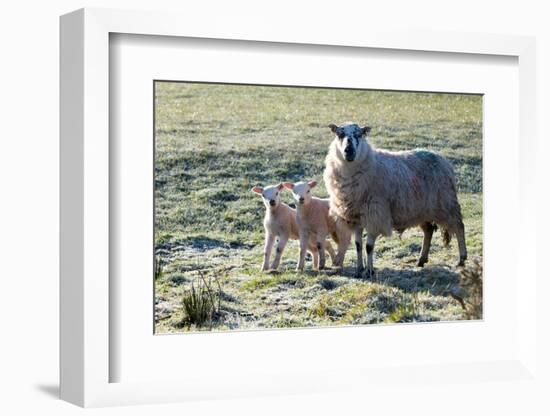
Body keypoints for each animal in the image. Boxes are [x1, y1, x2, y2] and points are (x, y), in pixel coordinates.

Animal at [326, 122, 468, 280]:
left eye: (359, 134)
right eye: (340, 134)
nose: (349, 151)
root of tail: (443, 159)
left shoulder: (375, 215)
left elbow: (369, 247)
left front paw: (369, 271)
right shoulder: (356, 217)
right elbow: (358, 245)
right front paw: (358, 270)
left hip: (446, 204)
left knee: (459, 227)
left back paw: (462, 259)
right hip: (422, 210)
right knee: (429, 231)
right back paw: (421, 260)